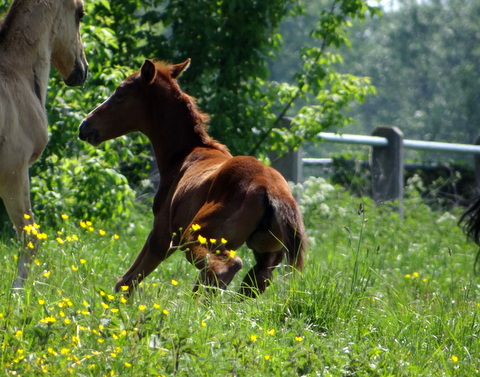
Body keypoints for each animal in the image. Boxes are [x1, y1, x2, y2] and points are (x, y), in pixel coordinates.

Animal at [0, 0, 88, 286]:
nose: (82, 70)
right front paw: (17, 293)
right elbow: (30, 237)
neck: (16, 72)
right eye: (80, 14)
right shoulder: (14, 171)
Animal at [77, 58, 306, 296]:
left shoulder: (162, 234)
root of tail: (271, 191)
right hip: (265, 251)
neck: (186, 153)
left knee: (224, 268)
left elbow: (126, 280)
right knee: (253, 279)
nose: (84, 126)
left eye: (120, 92)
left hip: (197, 236)